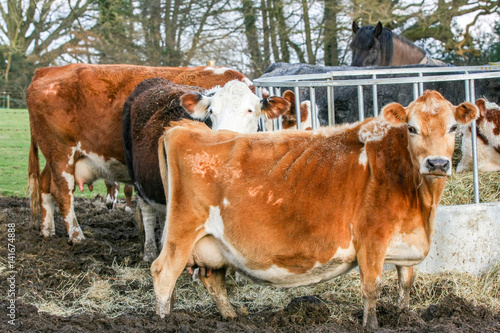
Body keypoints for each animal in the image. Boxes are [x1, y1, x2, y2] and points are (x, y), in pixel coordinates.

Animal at [26, 63, 254, 244]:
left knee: (46, 185)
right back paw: (76, 236)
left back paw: (48, 230)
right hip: (60, 152)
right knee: (63, 191)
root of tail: (47, 70)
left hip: (57, 155)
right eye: (212, 112)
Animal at [123, 77, 294, 260]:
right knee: (147, 212)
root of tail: (152, 81)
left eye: (250, 110)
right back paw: (149, 251)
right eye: (211, 111)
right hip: (137, 178)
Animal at [151, 89, 476, 328]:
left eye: (453, 127)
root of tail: (181, 127)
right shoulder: (371, 239)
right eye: (411, 128)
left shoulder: (407, 244)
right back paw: (164, 321)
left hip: (212, 243)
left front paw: (405, 318)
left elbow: (405, 287)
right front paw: (372, 325)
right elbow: (371, 288)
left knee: (212, 279)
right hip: (182, 229)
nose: (437, 163)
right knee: (163, 272)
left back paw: (232, 318)